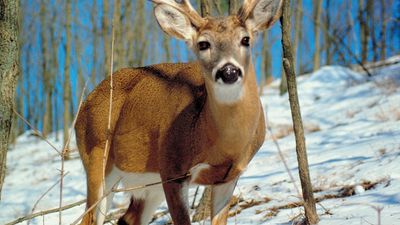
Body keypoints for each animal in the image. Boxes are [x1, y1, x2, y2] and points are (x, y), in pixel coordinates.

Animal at [75, 0, 282, 224]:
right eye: (203, 44)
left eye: (245, 39)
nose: (228, 71)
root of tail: (85, 104)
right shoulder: (172, 171)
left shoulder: (229, 177)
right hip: (96, 158)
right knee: (90, 216)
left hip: (149, 185)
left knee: (128, 218)